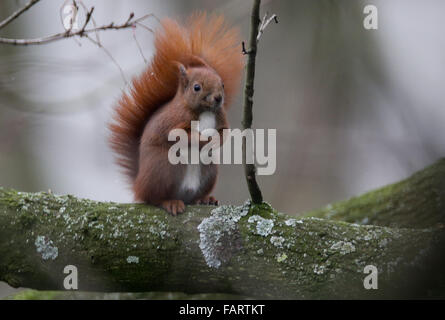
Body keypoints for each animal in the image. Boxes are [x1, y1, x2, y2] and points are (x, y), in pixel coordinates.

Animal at [109, 13, 245, 216]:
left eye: (222, 83)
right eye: (197, 87)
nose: (219, 98)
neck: (204, 111)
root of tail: (139, 185)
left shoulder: (221, 118)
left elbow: (224, 132)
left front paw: (216, 140)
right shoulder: (174, 120)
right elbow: (181, 135)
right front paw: (202, 139)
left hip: (209, 170)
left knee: (194, 196)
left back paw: (205, 199)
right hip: (165, 167)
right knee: (154, 198)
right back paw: (170, 202)